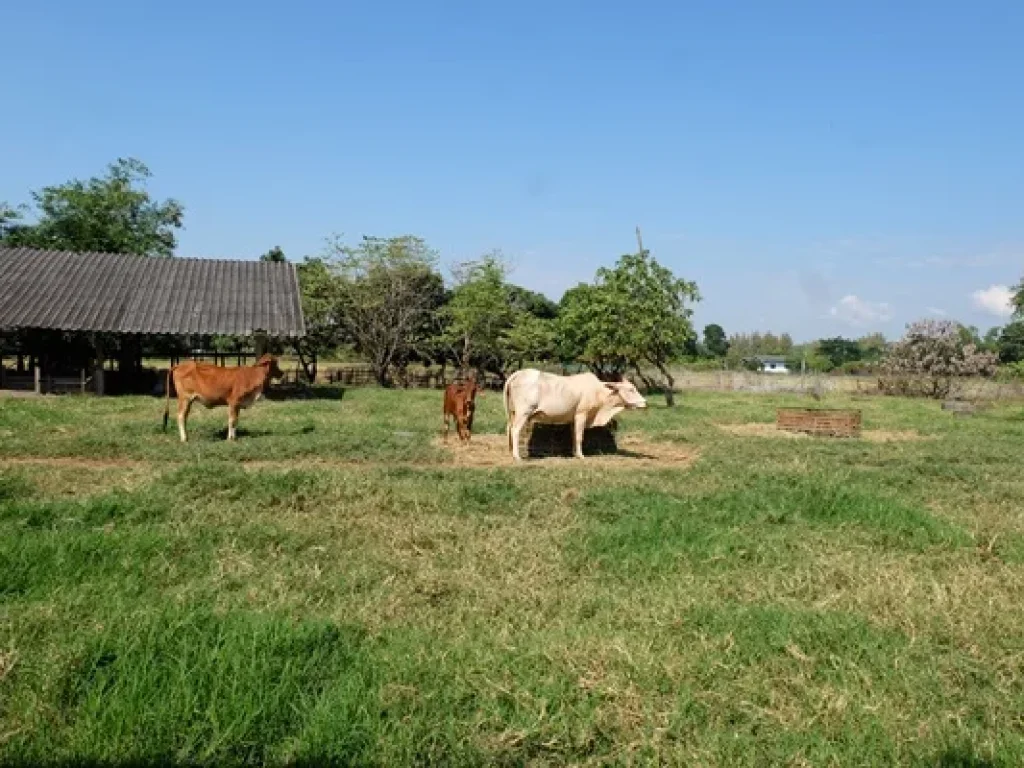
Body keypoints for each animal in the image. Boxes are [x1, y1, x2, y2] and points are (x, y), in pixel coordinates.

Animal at [503, 368, 647, 460]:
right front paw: (581, 456)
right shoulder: (581, 414)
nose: (645, 403)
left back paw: (510, 452)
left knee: (509, 428)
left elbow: (573, 436)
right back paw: (517, 456)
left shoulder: (573, 419)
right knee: (515, 431)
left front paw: (574, 453)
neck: (599, 392)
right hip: (523, 413)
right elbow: (579, 437)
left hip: (513, 413)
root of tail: (517, 374)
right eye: (631, 389)